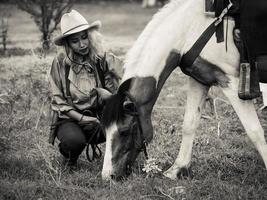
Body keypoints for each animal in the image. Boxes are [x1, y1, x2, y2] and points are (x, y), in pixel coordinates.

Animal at [100, 0, 267, 180]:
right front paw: (177, 168)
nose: (107, 176)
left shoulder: (231, 81)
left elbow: (255, 131)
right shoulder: (199, 79)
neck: (192, 29)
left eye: (124, 131)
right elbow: (189, 124)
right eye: (105, 131)